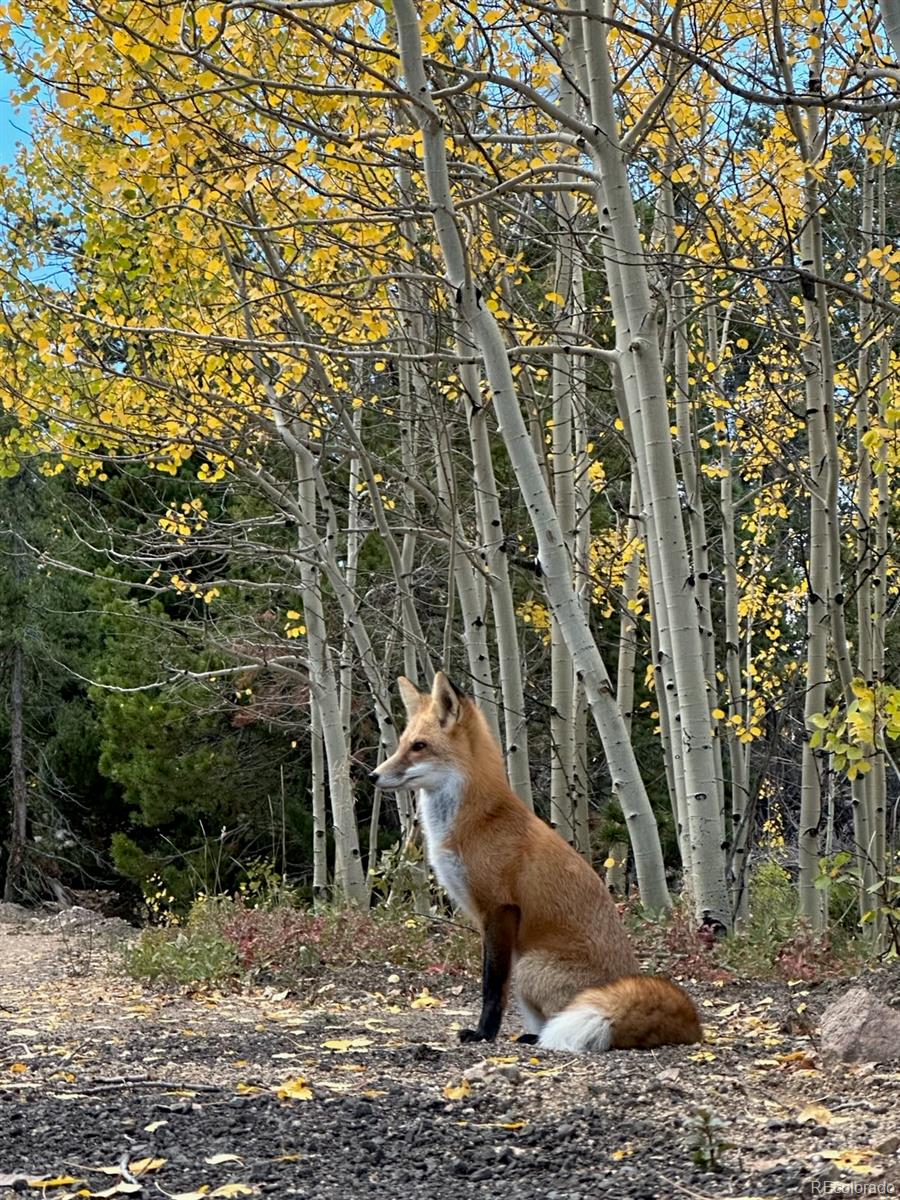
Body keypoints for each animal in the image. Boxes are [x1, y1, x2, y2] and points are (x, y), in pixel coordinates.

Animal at [369, 672, 700, 1056]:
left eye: (419, 746)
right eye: (402, 744)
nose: (373, 776)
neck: (477, 822)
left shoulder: (499, 908)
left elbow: (492, 986)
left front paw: (483, 1033)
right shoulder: (486, 918)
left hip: (529, 965)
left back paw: (538, 1038)